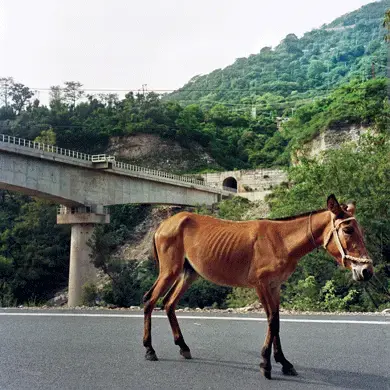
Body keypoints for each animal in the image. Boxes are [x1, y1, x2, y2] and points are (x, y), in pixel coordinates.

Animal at [142, 194, 374, 378]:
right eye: (348, 229)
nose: (367, 271)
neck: (281, 241)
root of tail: (164, 224)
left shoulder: (275, 286)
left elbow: (277, 322)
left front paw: (283, 362)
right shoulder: (261, 285)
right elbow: (271, 321)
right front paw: (266, 364)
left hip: (189, 273)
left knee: (169, 303)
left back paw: (183, 346)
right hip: (169, 270)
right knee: (149, 300)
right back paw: (149, 349)